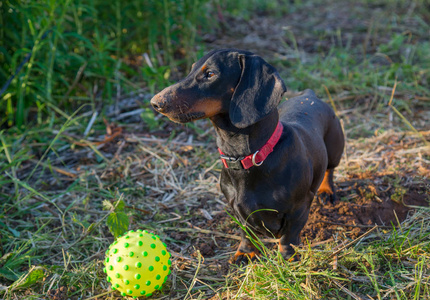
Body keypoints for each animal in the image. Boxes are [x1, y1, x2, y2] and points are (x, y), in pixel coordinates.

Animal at [151, 48, 346, 262]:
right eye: (191, 69)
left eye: (210, 74)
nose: (155, 103)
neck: (248, 157)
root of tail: (311, 96)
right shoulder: (236, 209)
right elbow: (247, 233)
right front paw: (245, 252)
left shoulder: (299, 208)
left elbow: (289, 236)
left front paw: (288, 257)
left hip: (335, 149)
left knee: (329, 170)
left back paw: (326, 191)